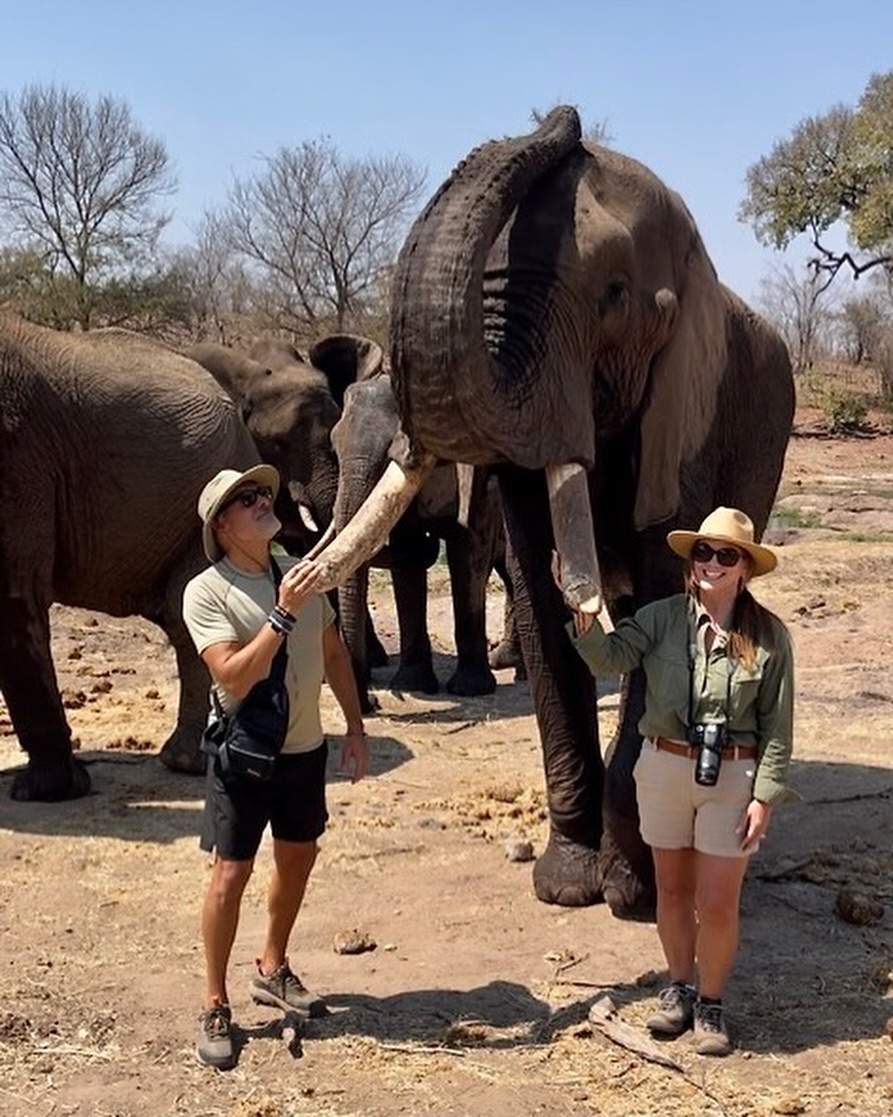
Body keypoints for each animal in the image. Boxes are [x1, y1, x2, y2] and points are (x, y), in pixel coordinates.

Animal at [328, 370, 523, 710]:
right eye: (333, 447)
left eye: (393, 451)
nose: (371, 704)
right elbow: (408, 563)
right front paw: (413, 685)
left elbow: (467, 552)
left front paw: (470, 689)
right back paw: (505, 661)